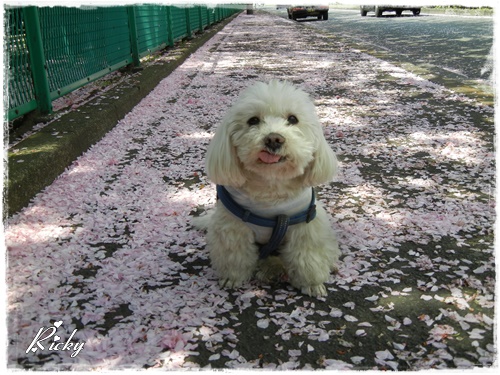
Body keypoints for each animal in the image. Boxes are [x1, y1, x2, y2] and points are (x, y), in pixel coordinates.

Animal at [195, 81, 340, 296]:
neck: (271, 187)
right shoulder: (233, 227)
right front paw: (232, 278)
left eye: (293, 119)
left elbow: (307, 256)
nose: (274, 139)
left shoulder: (305, 226)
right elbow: (235, 255)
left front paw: (312, 284)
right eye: (253, 120)